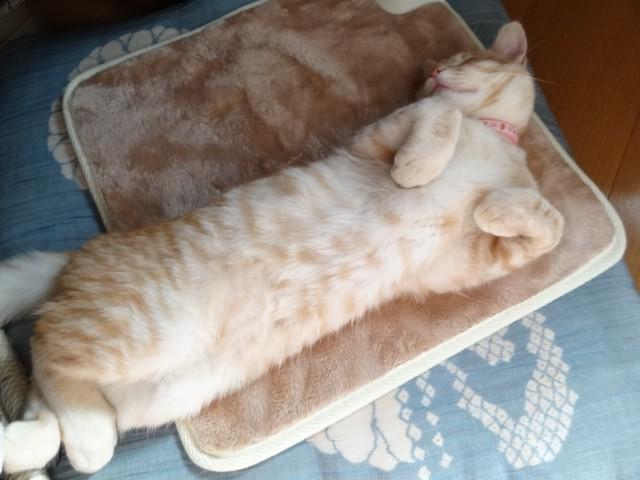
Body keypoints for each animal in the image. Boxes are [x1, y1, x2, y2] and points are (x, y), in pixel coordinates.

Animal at [0, 21, 563, 474]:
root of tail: (79, 257)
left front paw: (501, 207)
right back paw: (72, 435)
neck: (492, 141)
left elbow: (548, 221)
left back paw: (51, 441)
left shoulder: (465, 262)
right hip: (133, 333)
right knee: (44, 349)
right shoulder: (377, 140)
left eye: (463, 59)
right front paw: (433, 162)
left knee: (50, 405)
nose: (438, 70)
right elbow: (440, 113)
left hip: (157, 392)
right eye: (433, 71)